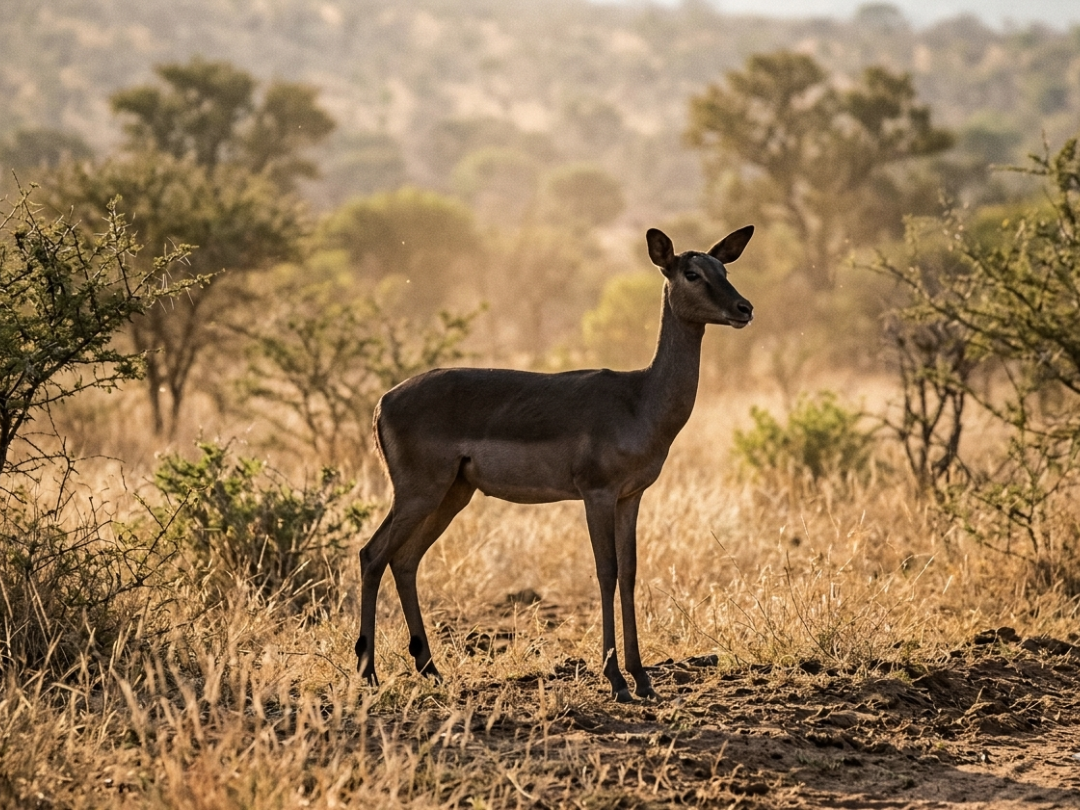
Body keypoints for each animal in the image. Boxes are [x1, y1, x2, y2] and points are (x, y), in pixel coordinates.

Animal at [355, 226, 755, 702]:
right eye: (691, 273)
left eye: (724, 269)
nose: (744, 308)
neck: (640, 399)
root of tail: (383, 401)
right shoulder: (596, 494)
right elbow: (606, 572)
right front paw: (617, 679)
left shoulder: (630, 497)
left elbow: (630, 573)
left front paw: (642, 678)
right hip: (418, 493)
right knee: (372, 554)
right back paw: (368, 674)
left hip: (452, 495)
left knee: (404, 560)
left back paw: (430, 669)